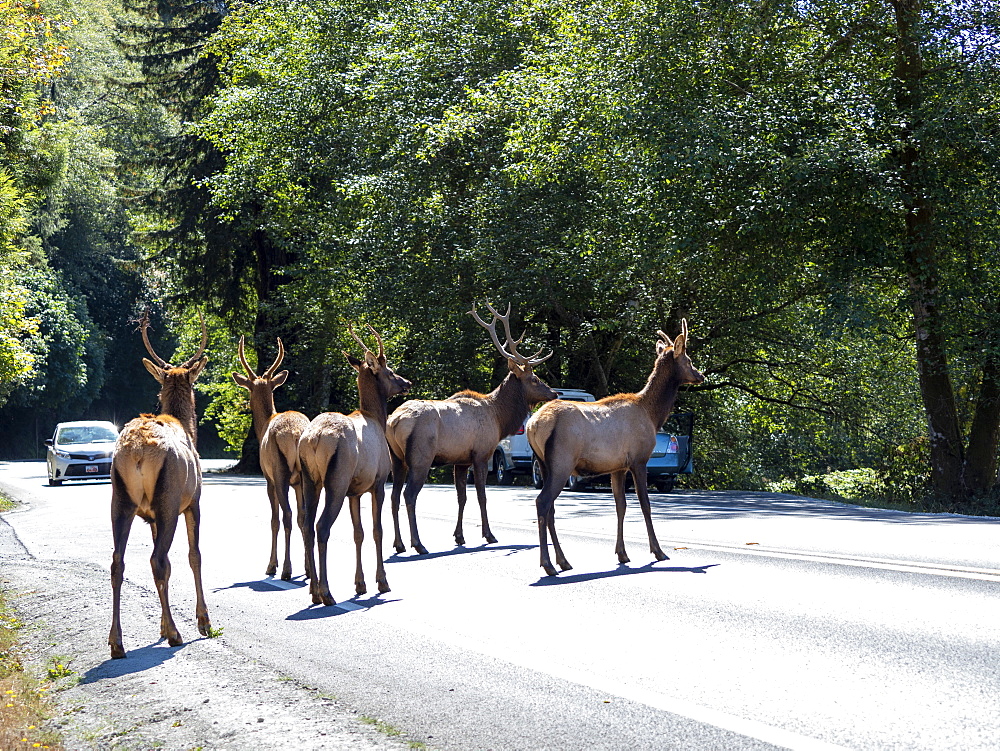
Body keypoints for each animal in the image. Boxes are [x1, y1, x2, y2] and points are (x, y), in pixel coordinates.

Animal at [108, 312, 210, 656]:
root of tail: (138, 451)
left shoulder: (149, 516)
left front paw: (162, 627)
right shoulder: (194, 502)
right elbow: (195, 555)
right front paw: (202, 622)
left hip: (120, 500)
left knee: (118, 562)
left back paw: (117, 642)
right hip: (168, 499)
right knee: (159, 560)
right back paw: (177, 634)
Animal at [232, 336, 310, 580]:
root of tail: (295, 434)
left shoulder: (268, 478)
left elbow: (274, 520)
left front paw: (271, 565)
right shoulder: (298, 483)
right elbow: (302, 517)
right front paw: (306, 567)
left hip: (280, 470)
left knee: (286, 516)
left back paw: (285, 569)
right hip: (307, 474)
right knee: (305, 517)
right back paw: (308, 570)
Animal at [296, 326, 410, 608]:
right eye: (389, 370)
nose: (406, 383)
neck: (376, 417)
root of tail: (314, 440)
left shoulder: (354, 492)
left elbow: (358, 532)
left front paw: (360, 584)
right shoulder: (378, 482)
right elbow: (377, 530)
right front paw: (382, 582)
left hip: (309, 480)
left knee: (306, 524)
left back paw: (313, 590)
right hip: (335, 480)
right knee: (322, 526)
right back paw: (326, 592)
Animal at [386, 302, 560, 556]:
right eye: (534, 379)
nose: (554, 393)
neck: (499, 418)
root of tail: (393, 421)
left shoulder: (460, 460)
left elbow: (462, 498)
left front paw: (459, 536)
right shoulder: (481, 454)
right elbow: (481, 496)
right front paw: (489, 535)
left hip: (397, 458)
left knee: (394, 495)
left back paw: (398, 544)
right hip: (420, 456)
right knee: (409, 494)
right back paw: (418, 544)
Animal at [524, 318, 704, 576]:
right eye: (688, 360)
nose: (701, 375)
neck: (652, 414)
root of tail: (533, 425)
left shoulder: (618, 467)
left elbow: (621, 506)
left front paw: (622, 553)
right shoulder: (639, 459)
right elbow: (645, 504)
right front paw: (658, 551)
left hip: (543, 464)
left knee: (551, 508)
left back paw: (563, 561)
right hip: (561, 462)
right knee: (543, 502)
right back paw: (548, 564)